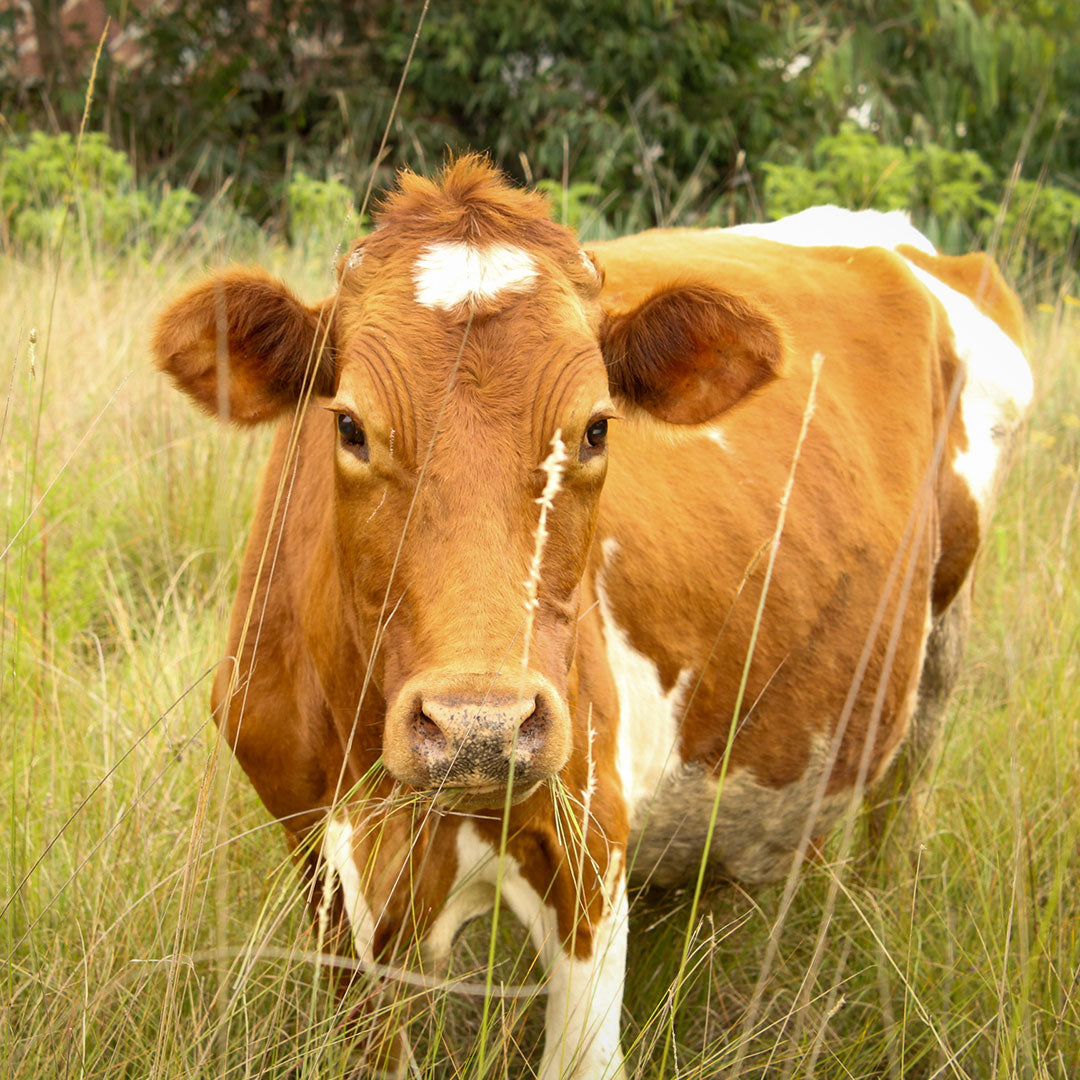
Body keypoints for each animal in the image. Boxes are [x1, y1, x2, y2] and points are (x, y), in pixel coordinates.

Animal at [152, 157, 1032, 1079]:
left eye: (598, 428)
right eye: (351, 427)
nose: (479, 727)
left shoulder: (587, 847)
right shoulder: (323, 876)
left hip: (943, 641)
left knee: (899, 807)